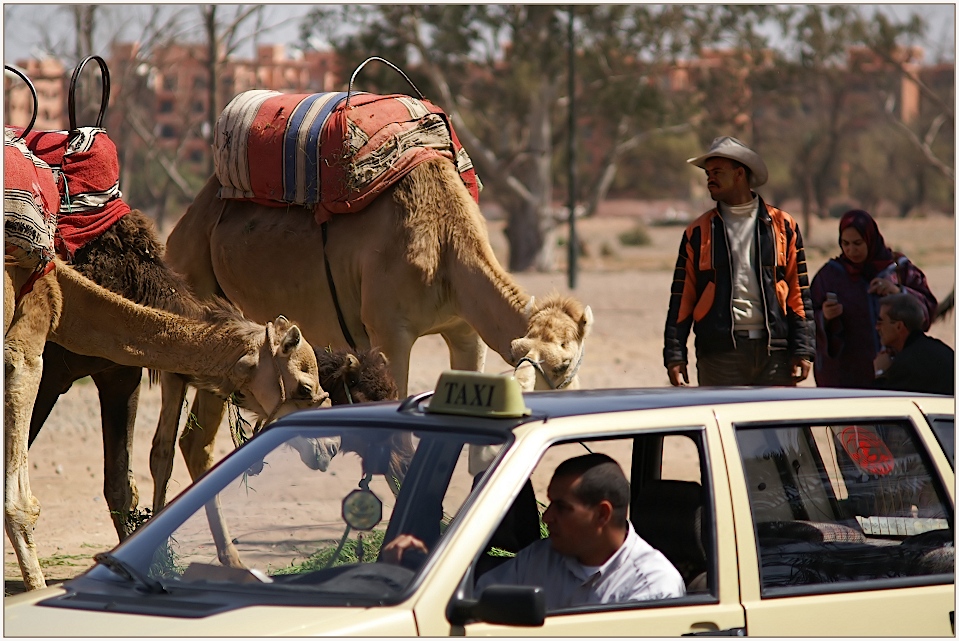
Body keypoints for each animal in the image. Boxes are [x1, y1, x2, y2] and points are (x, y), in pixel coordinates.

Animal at [2, 258, 330, 588]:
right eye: (304, 388)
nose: (328, 446)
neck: (64, 298)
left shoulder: (116, 374)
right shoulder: (30, 350)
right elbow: (20, 501)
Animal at [165, 158, 596, 488]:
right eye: (558, 365)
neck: (444, 241)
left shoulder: (465, 330)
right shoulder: (390, 334)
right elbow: (398, 445)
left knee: (196, 442)